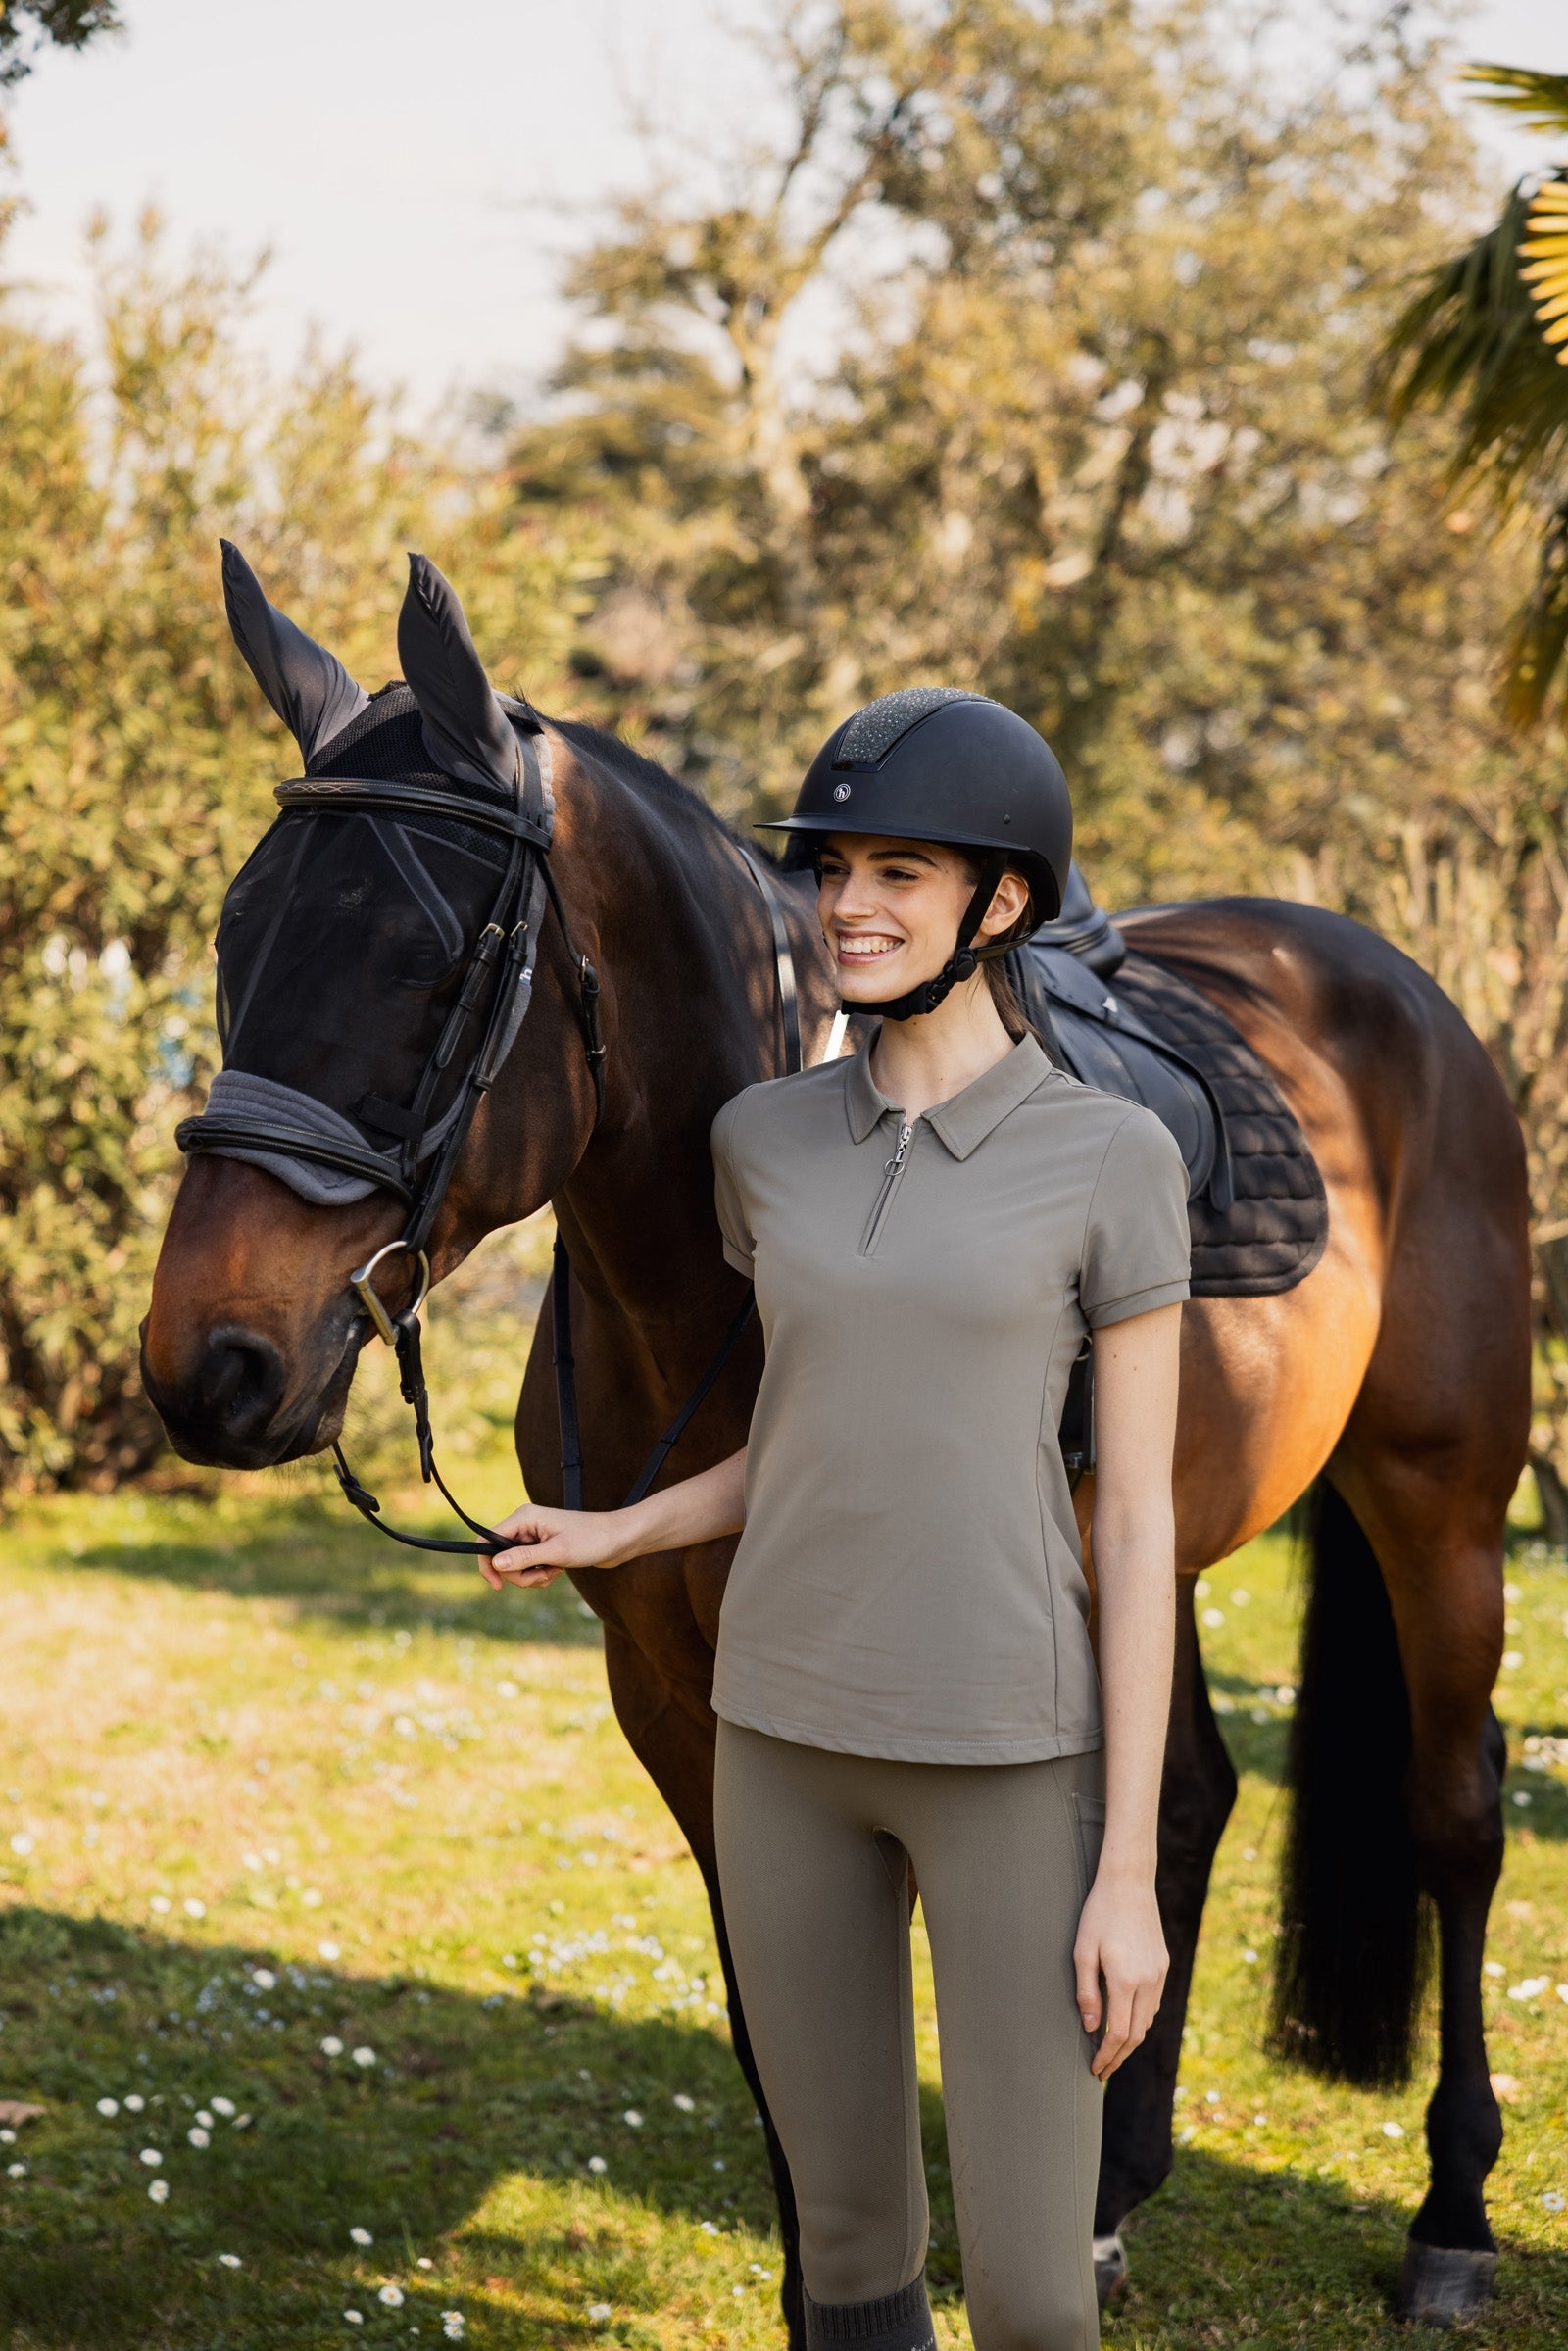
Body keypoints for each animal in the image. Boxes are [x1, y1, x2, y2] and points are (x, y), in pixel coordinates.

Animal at [141, 552, 1530, 2337]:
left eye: (430, 962)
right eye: (238, 936)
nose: (210, 1364)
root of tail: (1396, 988)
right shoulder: (685, 1701)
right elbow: (786, 2022)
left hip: (1445, 1506)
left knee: (1453, 1814)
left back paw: (1450, 2216)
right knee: (1183, 1806)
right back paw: (1109, 2196)